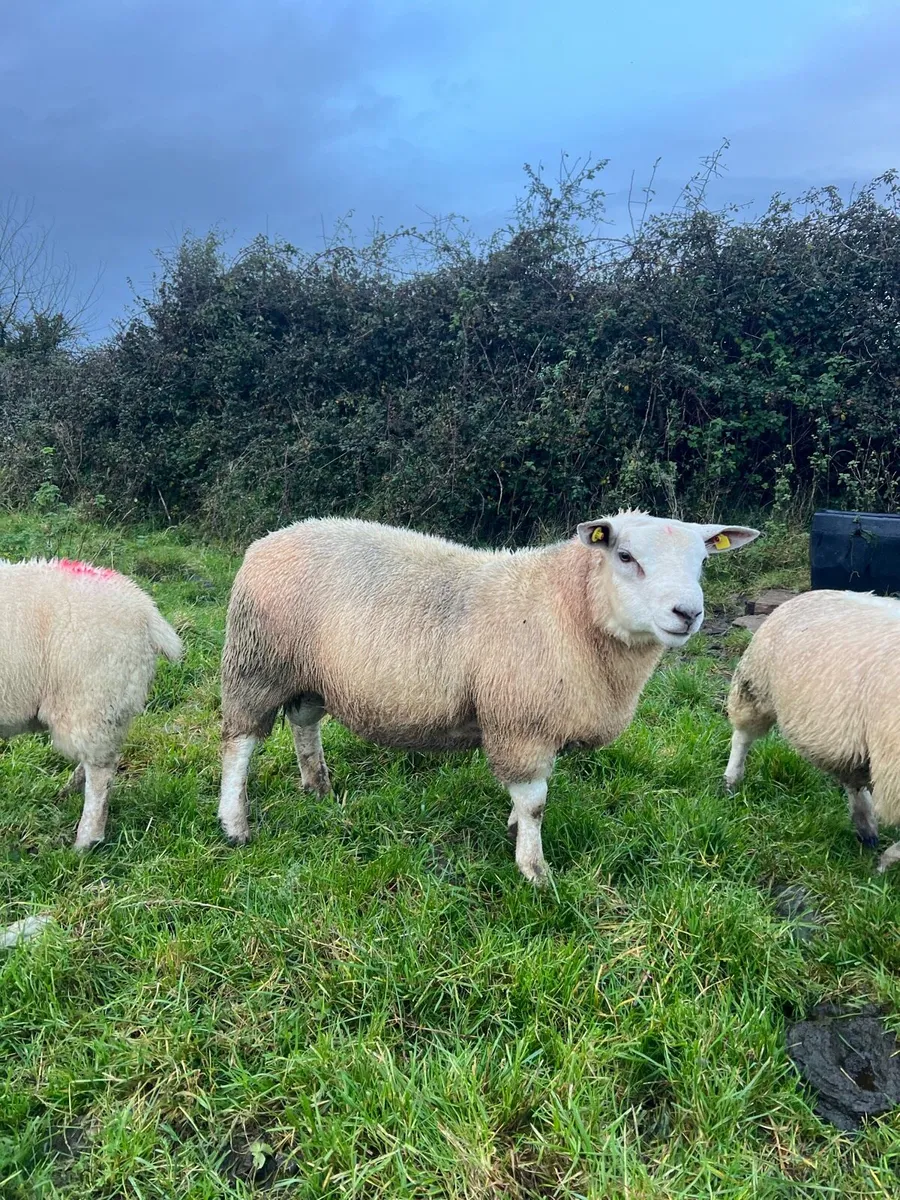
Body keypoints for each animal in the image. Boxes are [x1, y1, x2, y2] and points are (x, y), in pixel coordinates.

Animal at [0, 557, 183, 850]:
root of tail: (144, 608)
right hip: (109, 704)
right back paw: (69, 792)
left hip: (92, 698)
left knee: (101, 774)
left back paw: (87, 840)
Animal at [218, 513, 758, 882]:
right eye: (626, 556)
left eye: (703, 561)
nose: (688, 613)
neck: (569, 607)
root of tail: (269, 539)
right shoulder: (520, 723)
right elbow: (536, 801)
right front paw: (534, 870)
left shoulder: (535, 722)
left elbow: (529, 798)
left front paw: (514, 830)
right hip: (256, 664)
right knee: (238, 745)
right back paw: (235, 824)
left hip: (307, 674)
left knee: (303, 723)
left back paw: (318, 787)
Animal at [724, 589, 900, 873]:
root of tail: (811, 593)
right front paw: (886, 864)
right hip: (756, 683)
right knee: (743, 736)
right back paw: (732, 779)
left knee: (852, 780)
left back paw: (866, 827)